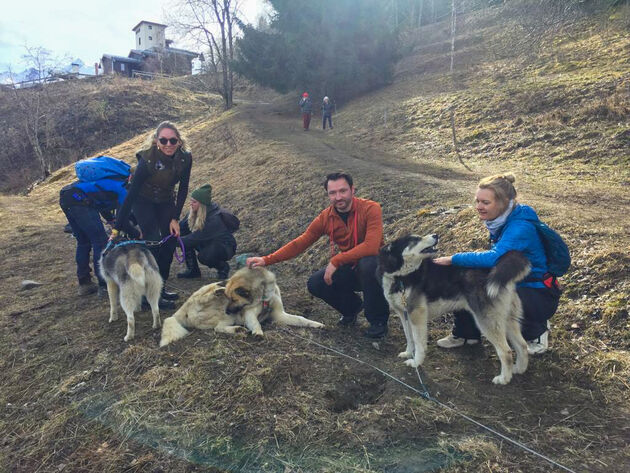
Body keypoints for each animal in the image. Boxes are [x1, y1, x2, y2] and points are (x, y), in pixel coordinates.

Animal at [162, 266, 326, 346]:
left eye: (233, 299)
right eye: (229, 298)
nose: (228, 310)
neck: (264, 295)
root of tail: (181, 311)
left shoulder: (280, 315)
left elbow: (300, 319)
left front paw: (316, 324)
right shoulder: (249, 314)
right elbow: (255, 323)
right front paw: (258, 332)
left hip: (227, 318)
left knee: (218, 328)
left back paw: (237, 329)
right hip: (210, 300)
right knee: (206, 300)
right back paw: (217, 291)